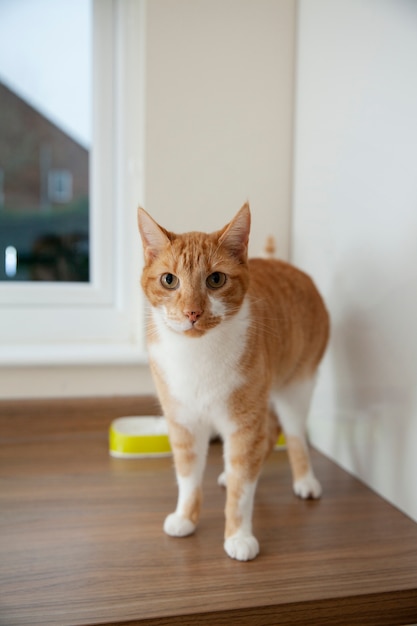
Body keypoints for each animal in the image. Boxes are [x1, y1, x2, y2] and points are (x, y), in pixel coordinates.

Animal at [136, 204, 328, 560]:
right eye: (169, 280)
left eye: (215, 279)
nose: (192, 312)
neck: (197, 355)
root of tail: (288, 264)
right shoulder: (184, 423)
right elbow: (188, 476)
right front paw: (185, 518)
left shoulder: (243, 424)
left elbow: (242, 490)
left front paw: (238, 536)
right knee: (270, 433)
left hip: (296, 387)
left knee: (293, 434)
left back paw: (305, 480)